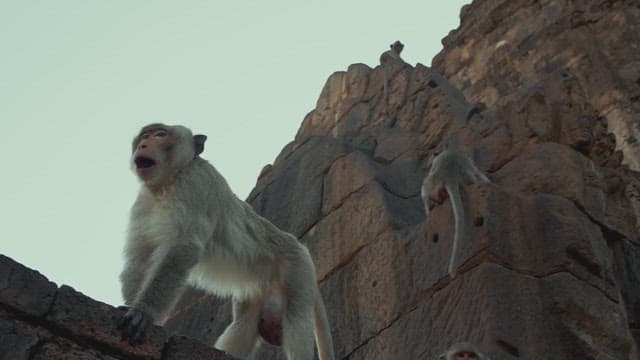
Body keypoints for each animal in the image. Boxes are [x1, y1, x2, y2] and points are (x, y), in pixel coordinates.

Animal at [117, 124, 336, 360]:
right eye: (145, 136)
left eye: (159, 135)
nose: (143, 145)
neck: (169, 181)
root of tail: (296, 243)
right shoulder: (144, 201)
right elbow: (140, 256)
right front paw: (130, 306)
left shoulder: (196, 184)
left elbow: (184, 246)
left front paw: (144, 313)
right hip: (258, 287)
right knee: (244, 325)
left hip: (297, 269)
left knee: (297, 319)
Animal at [420, 148, 490, 278]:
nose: (425, 166)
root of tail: (449, 174)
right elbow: (478, 173)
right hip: (463, 175)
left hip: (433, 182)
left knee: (426, 191)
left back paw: (435, 203)